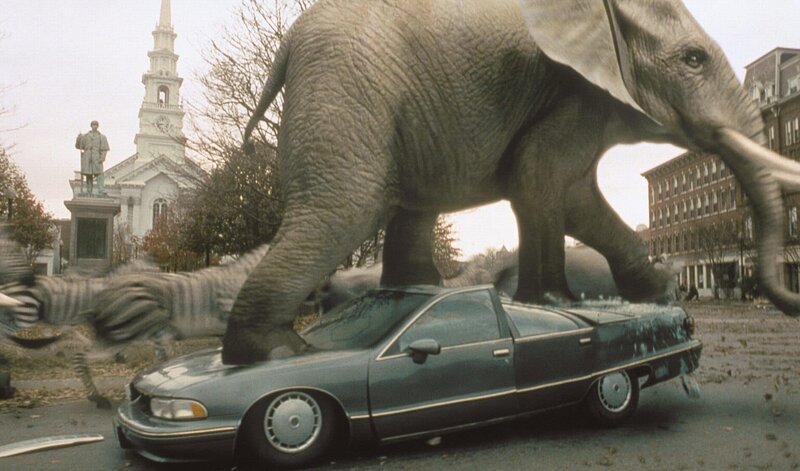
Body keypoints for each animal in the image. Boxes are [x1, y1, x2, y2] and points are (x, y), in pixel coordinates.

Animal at [223, 0, 800, 364]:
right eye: (693, 59)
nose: (782, 299)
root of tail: (289, 44)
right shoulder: (573, 94)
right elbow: (538, 177)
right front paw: (555, 301)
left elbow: (576, 197)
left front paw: (656, 291)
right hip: (346, 90)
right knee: (342, 209)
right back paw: (280, 352)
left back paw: (421, 292)